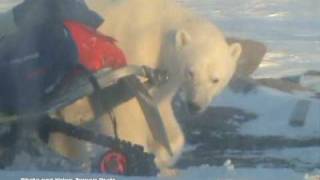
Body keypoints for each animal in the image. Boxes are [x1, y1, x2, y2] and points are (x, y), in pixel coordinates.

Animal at [49, 0, 240, 174]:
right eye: (190, 72)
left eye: (215, 79)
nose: (195, 105)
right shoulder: (135, 51)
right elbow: (127, 112)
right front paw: (137, 156)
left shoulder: (163, 77)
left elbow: (160, 110)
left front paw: (165, 154)